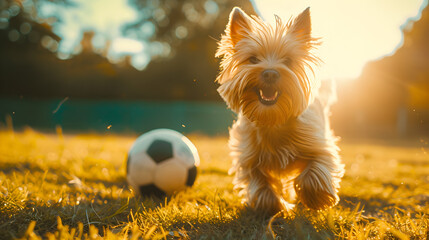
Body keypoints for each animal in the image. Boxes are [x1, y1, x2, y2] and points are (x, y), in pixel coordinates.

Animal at [216, 7, 342, 216]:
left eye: (288, 60)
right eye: (253, 59)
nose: (270, 73)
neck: (273, 118)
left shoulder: (318, 145)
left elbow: (314, 172)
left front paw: (315, 198)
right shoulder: (248, 158)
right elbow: (261, 186)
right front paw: (275, 207)